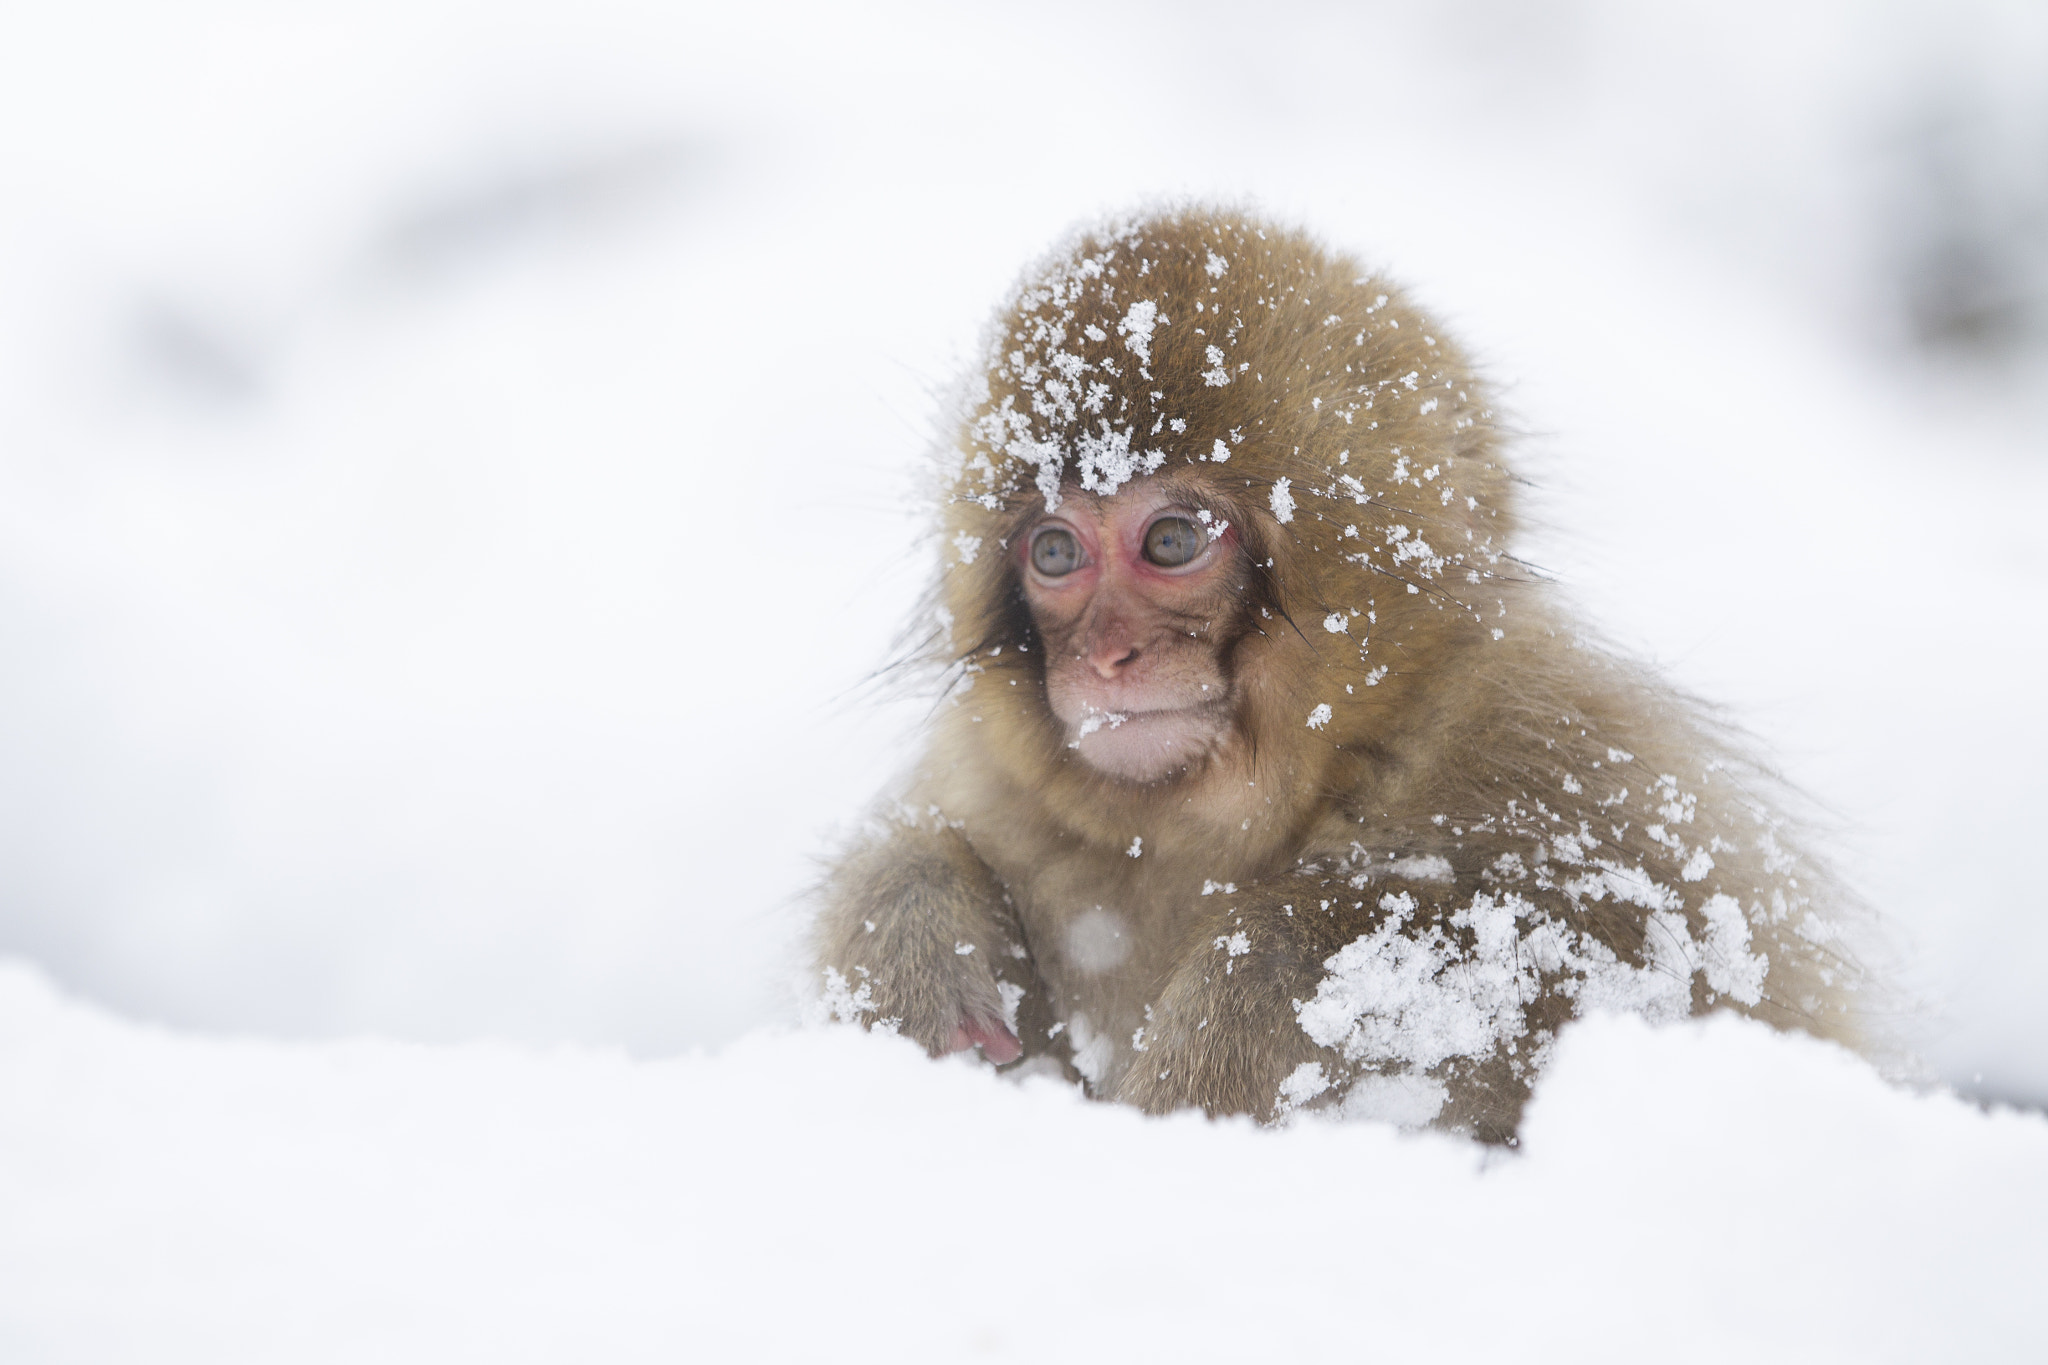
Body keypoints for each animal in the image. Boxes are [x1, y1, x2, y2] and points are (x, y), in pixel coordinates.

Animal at [813, 207, 1875, 1142]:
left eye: (1170, 540)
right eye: (1056, 553)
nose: (1107, 657)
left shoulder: (1570, 758)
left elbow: (1633, 960)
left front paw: (1263, 973)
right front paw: (910, 935)